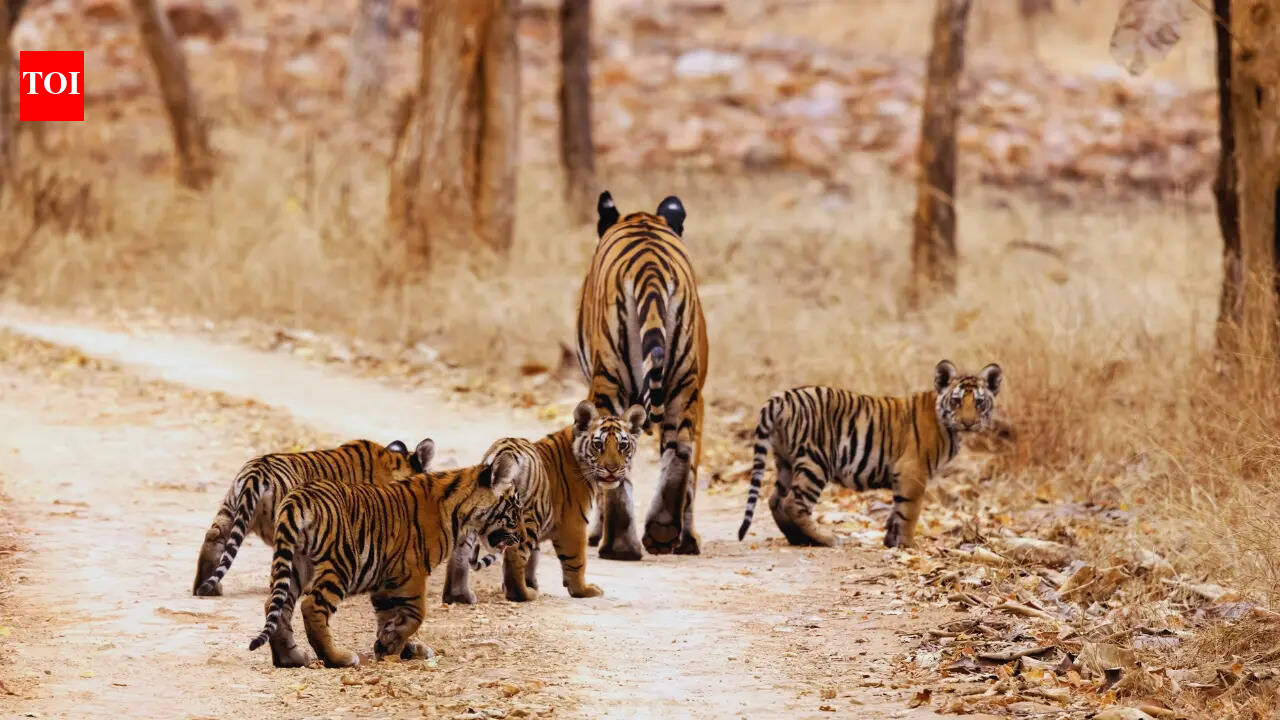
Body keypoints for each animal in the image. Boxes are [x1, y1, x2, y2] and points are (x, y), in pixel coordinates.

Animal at [247, 440, 523, 668]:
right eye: (516, 509)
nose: (520, 537)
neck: (461, 512)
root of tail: (298, 497)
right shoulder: (411, 573)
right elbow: (416, 614)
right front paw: (393, 645)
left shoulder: (385, 581)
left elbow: (390, 617)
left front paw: (395, 646)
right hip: (341, 564)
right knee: (311, 607)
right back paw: (337, 658)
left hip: (295, 563)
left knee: (276, 604)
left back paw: (290, 658)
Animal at [441, 401, 646, 604]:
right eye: (598, 445)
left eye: (623, 445)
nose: (612, 469)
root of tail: (505, 451)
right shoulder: (574, 523)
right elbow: (577, 560)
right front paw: (582, 590)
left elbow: (534, 558)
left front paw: (531, 583)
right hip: (526, 518)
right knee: (514, 556)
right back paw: (523, 595)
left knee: (459, 554)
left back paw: (459, 596)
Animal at [577, 191, 710, 558]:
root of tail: (649, 267)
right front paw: (687, 540)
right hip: (683, 383)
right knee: (681, 450)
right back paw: (662, 532)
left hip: (608, 380)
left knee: (612, 452)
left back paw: (618, 545)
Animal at [737, 360, 1003, 548]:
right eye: (957, 401)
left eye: (979, 402)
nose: (968, 423)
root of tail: (781, 397)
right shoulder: (913, 472)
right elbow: (910, 513)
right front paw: (907, 545)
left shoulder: (902, 477)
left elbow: (897, 511)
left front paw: (891, 541)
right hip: (816, 461)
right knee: (793, 503)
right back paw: (825, 539)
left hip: (786, 461)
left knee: (775, 500)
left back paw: (798, 538)